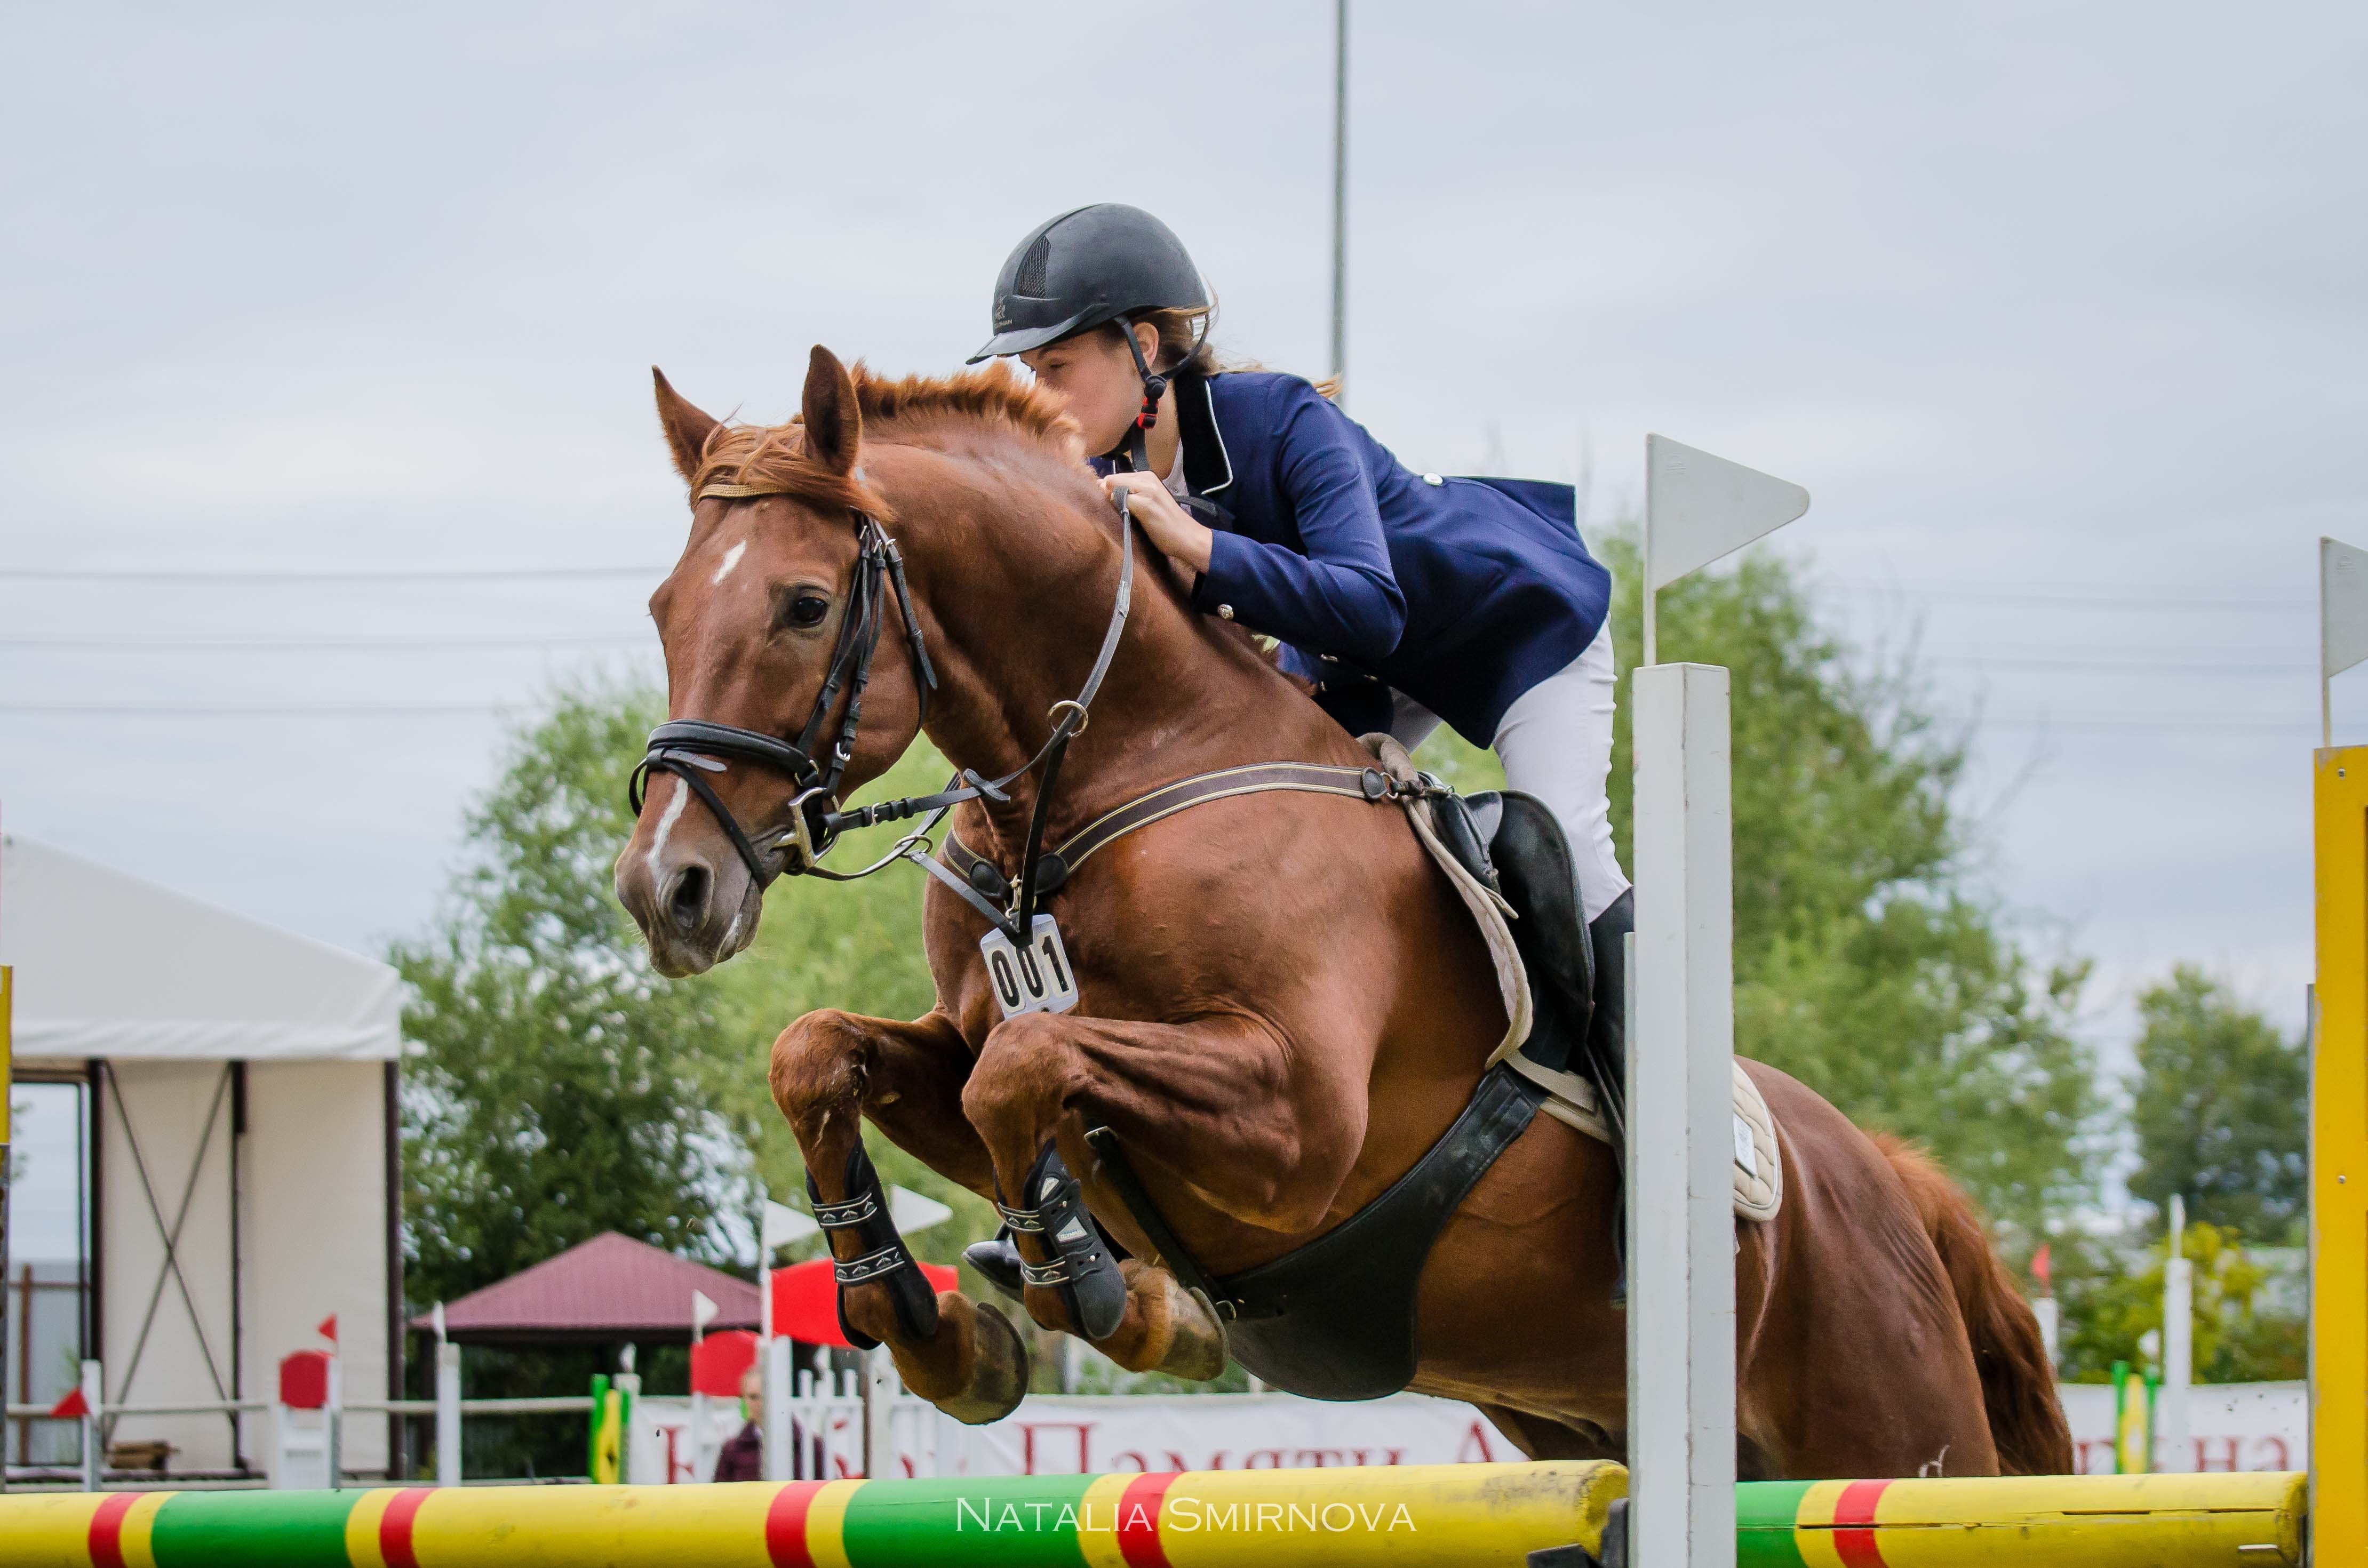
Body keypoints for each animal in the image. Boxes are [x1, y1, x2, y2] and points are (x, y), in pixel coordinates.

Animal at [616, 348, 2074, 1487]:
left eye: (805, 604)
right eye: (663, 608)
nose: (663, 890)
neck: (1105, 774)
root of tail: (1884, 1176)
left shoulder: (1299, 1126)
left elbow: (1024, 1071)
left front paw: (1091, 1288)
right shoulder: (969, 1054)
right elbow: (826, 1054)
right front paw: (937, 1329)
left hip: (1892, 1428)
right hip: (1587, 1417)